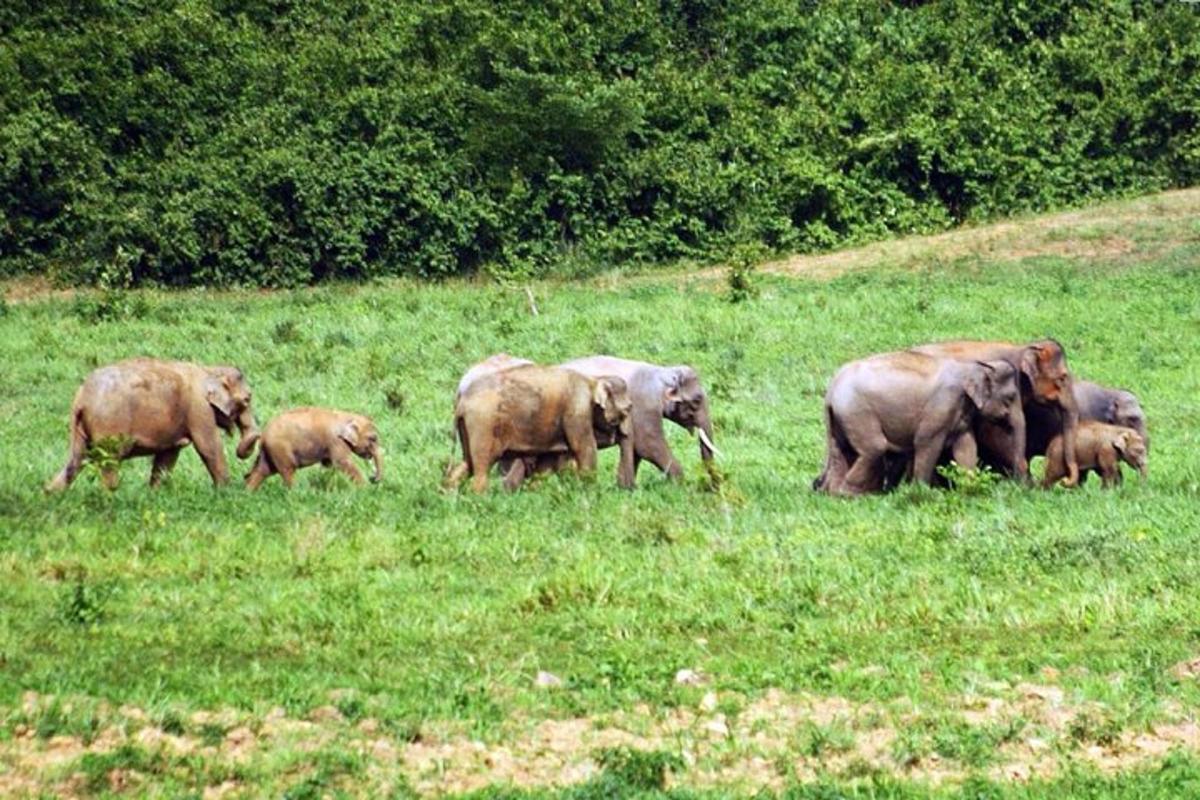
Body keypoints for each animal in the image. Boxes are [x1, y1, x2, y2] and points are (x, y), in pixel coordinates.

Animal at [241, 410, 376, 491]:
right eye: (373, 439)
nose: (373, 478)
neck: (346, 416)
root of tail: (263, 435)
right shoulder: (336, 441)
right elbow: (343, 462)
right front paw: (366, 489)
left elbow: (331, 464)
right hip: (280, 449)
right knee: (288, 469)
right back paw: (295, 492)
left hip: (271, 451)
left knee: (263, 470)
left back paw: (249, 492)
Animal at [816, 352, 1022, 496]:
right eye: (1010, 397)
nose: (1020, 486)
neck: (973, 366)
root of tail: (831, 390)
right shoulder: (942, 405)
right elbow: (926, 443)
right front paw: (922, 492)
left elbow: (967, 446)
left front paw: (970, 489)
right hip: (857, 412)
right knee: (874, 448)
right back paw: (850, 495)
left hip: (841, 418)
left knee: (840, 451)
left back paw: (835, 493)